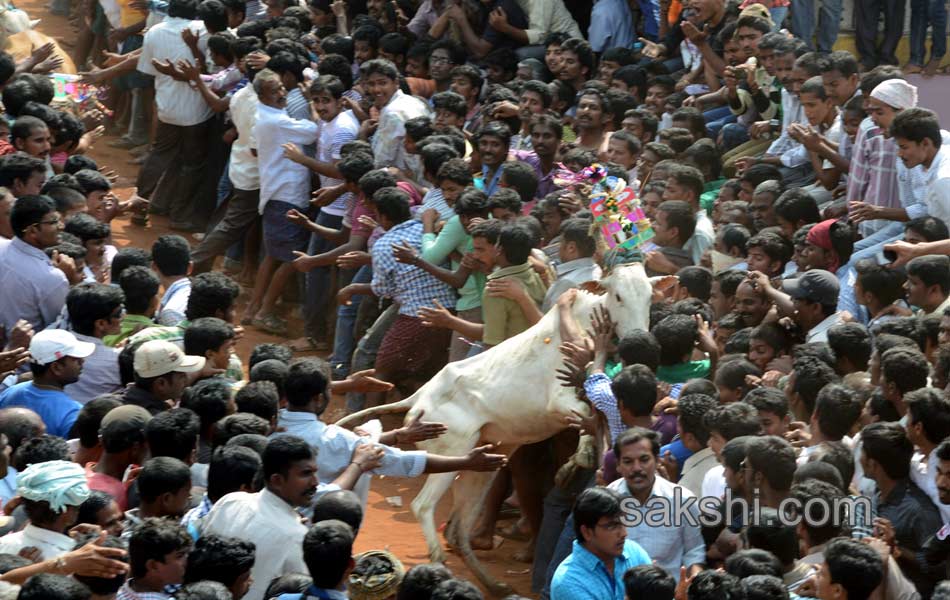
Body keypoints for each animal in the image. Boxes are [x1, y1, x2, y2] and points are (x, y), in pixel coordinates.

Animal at [340, 262, 660, 596]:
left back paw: (492, 583)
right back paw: (440, 565)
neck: (585, 322)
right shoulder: (559, 399)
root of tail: (419, 397)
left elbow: (592, 416)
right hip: (452, 452)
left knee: (459, 527)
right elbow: (586, 416)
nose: (639, 335)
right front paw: (577, 461)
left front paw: (577, 461)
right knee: (423, 506)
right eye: (618, 296)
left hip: (481, 463)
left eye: (650, 298)